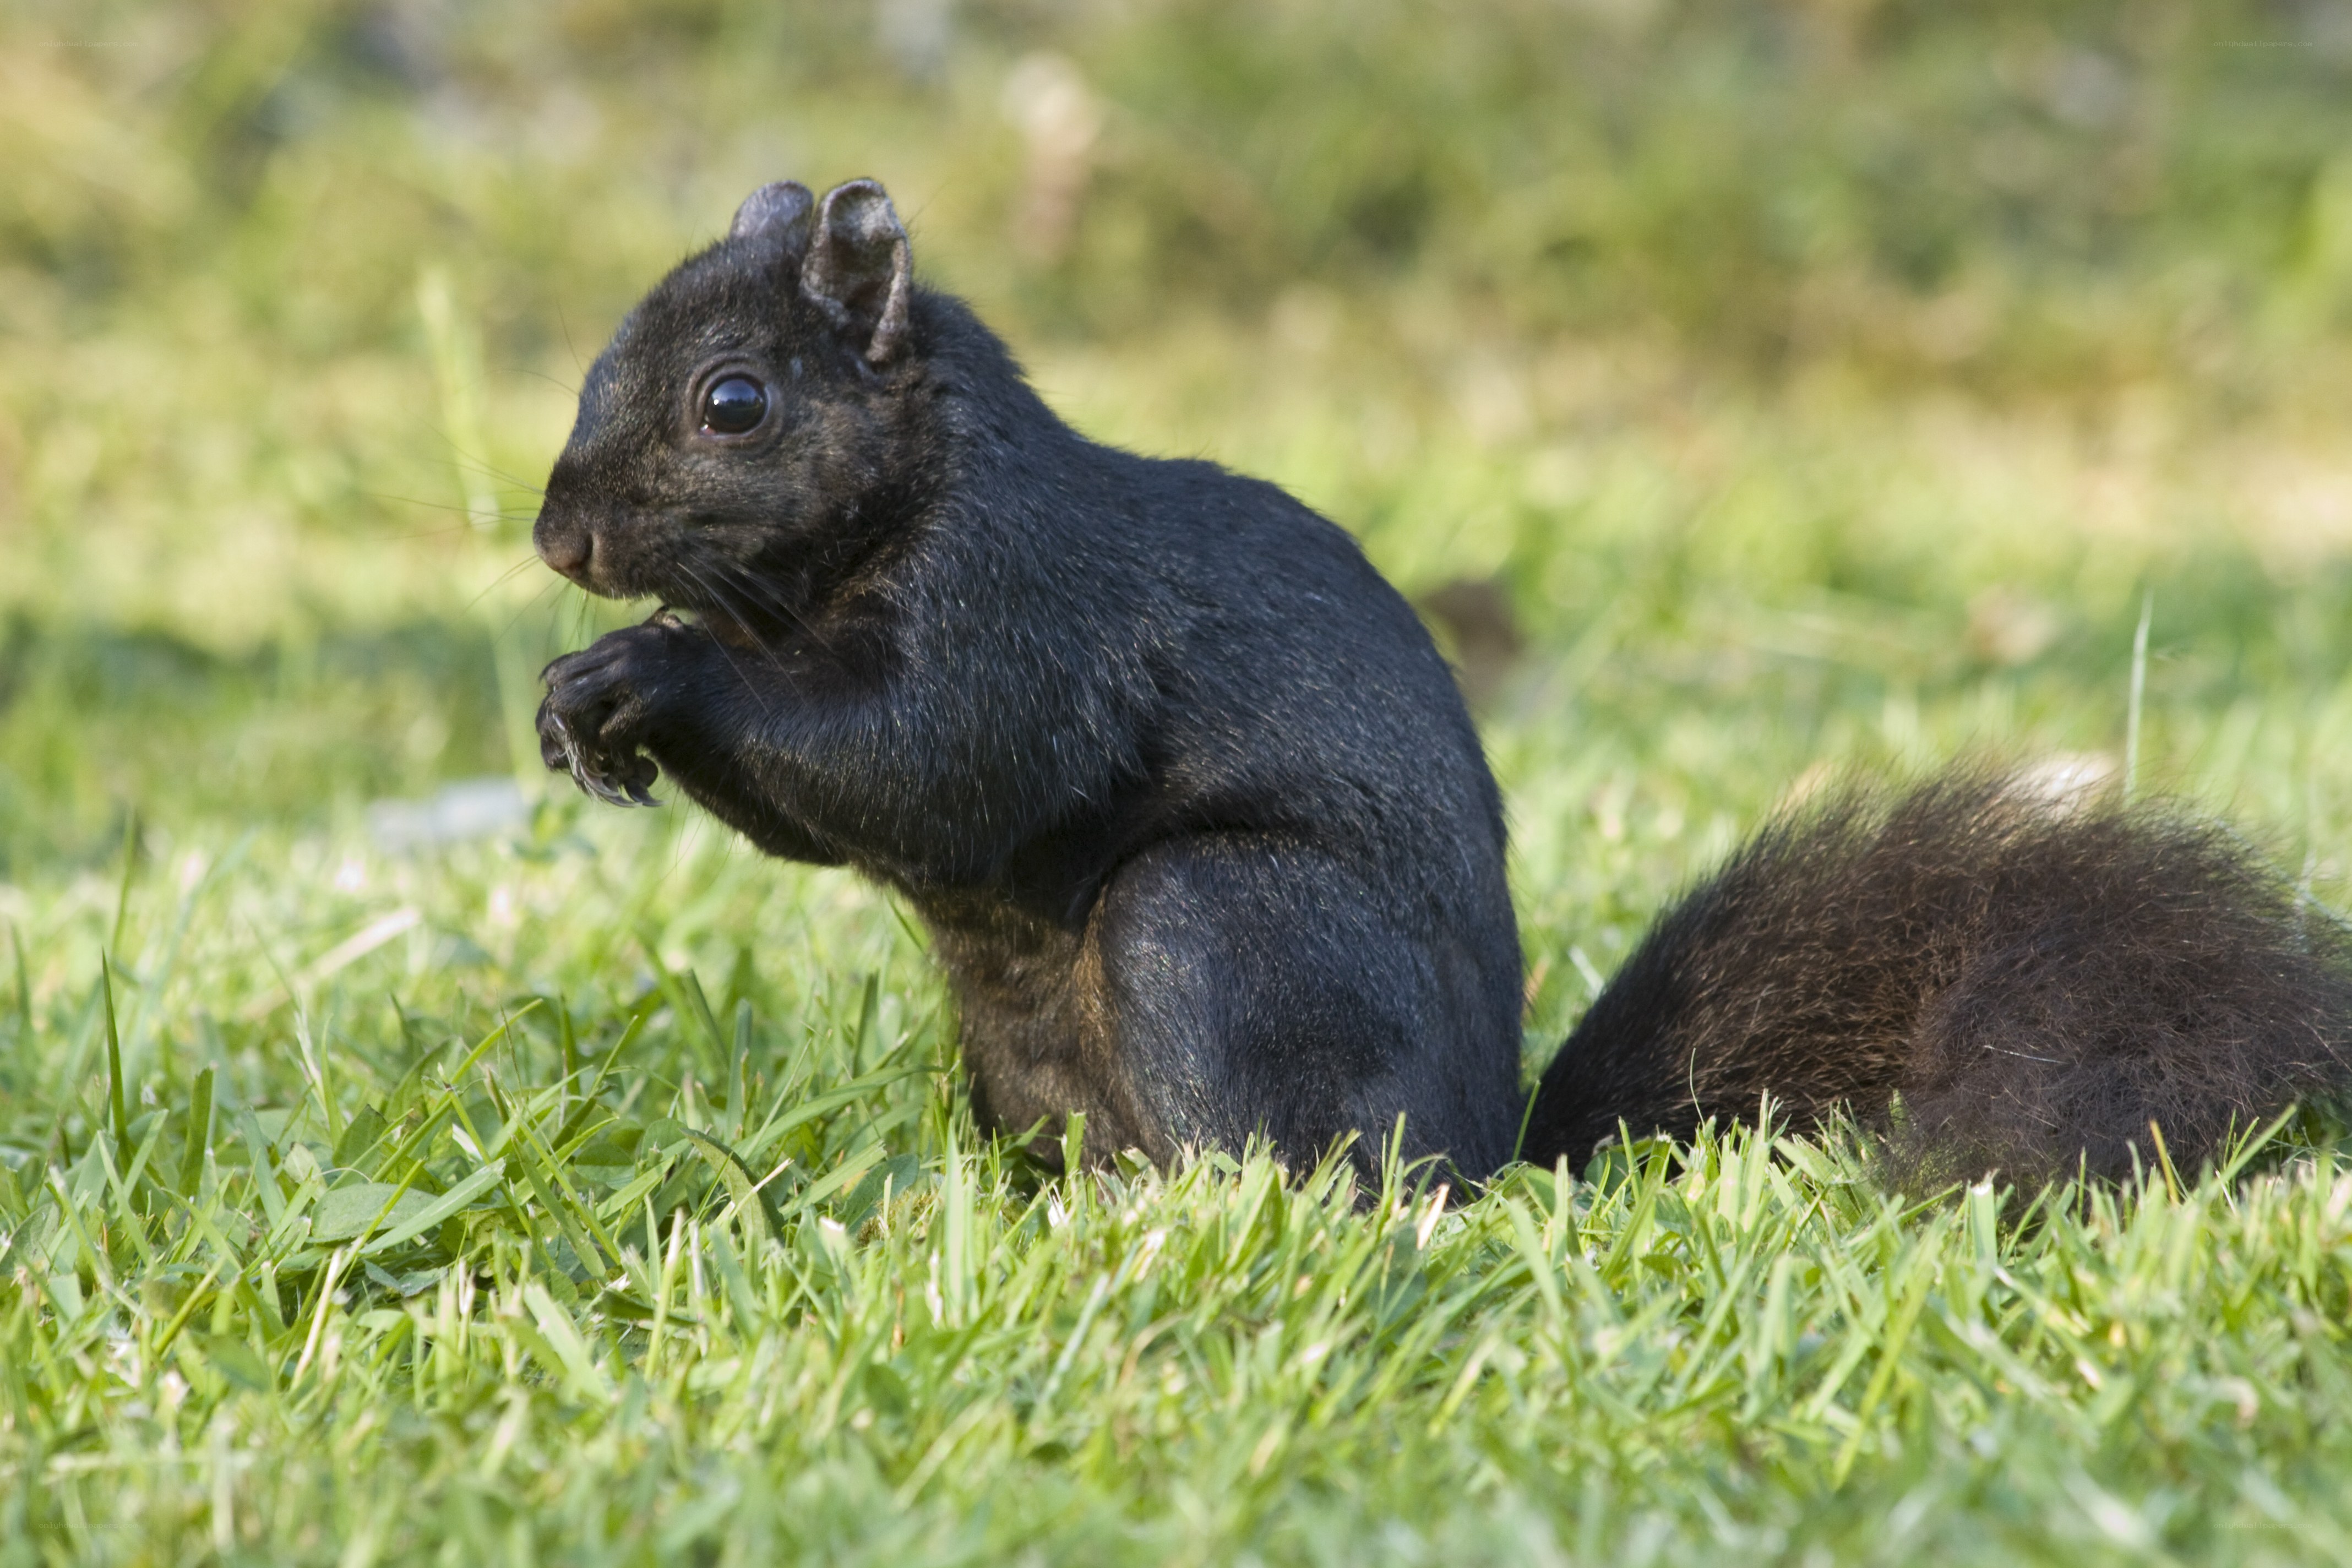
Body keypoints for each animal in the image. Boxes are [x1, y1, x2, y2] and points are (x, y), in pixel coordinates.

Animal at [531, 177, 2352, 1188]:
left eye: (735, 402)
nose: (556, 538)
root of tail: (1496, 1144)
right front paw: (576, 698)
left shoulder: (1024, 604)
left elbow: (930, 761)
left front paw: (652, 667)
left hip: (1221, 930)